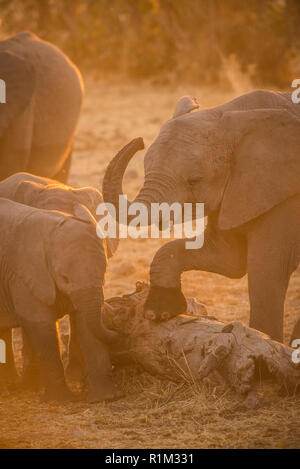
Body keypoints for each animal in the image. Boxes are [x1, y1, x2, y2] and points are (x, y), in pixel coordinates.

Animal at [102, 90, 300, 344]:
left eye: (194, 180)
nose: (139, 141)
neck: (232, 113)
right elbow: (228, 260)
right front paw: (160, 311)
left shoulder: (285, 195)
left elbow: (267, 267)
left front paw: (264, 340)